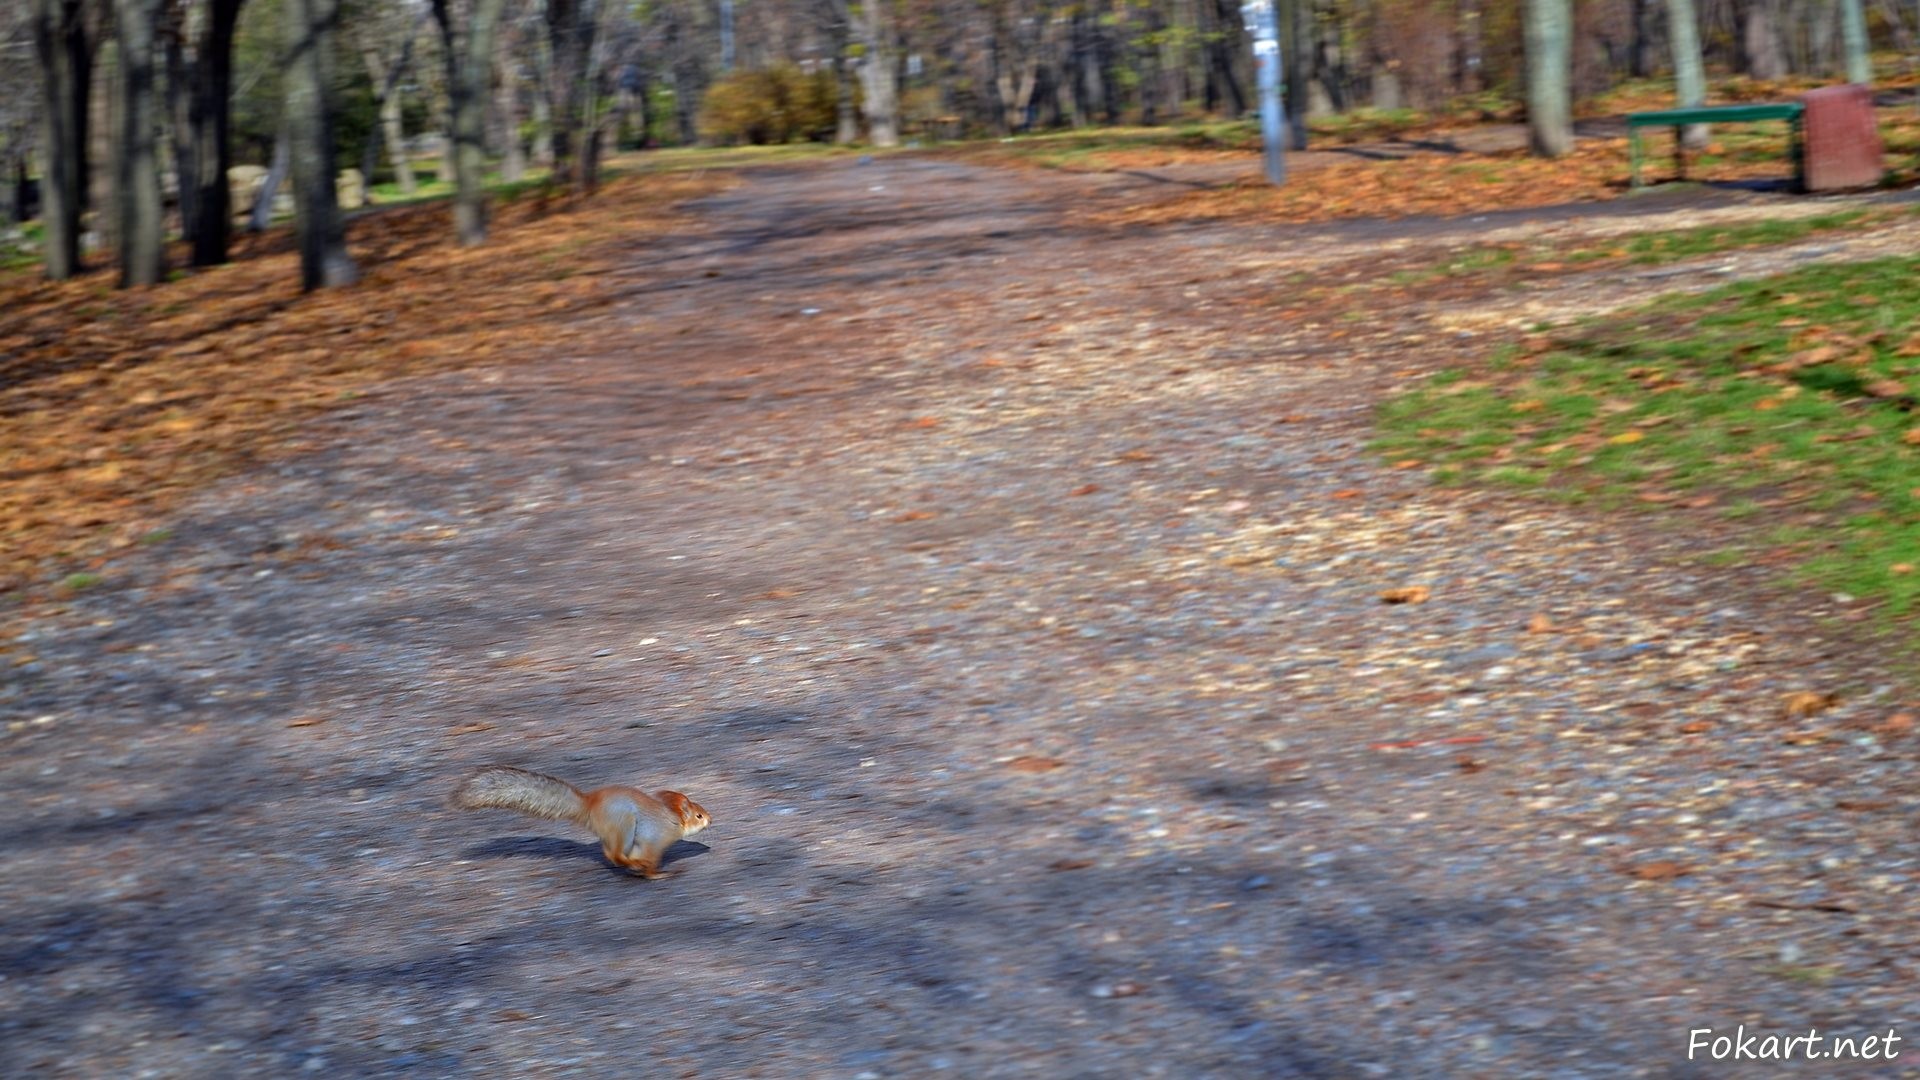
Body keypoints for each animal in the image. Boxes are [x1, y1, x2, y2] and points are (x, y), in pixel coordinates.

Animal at [452, 765, 711, 879]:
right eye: (698, 815)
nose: (710, 819)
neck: (673, 819)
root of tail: (589, 804)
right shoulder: (655, 839)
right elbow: (652, 860)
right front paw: (655, 873)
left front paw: (642, 868)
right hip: (624, 824)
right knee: (614, 854)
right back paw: (632, 864)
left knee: (610, 853)